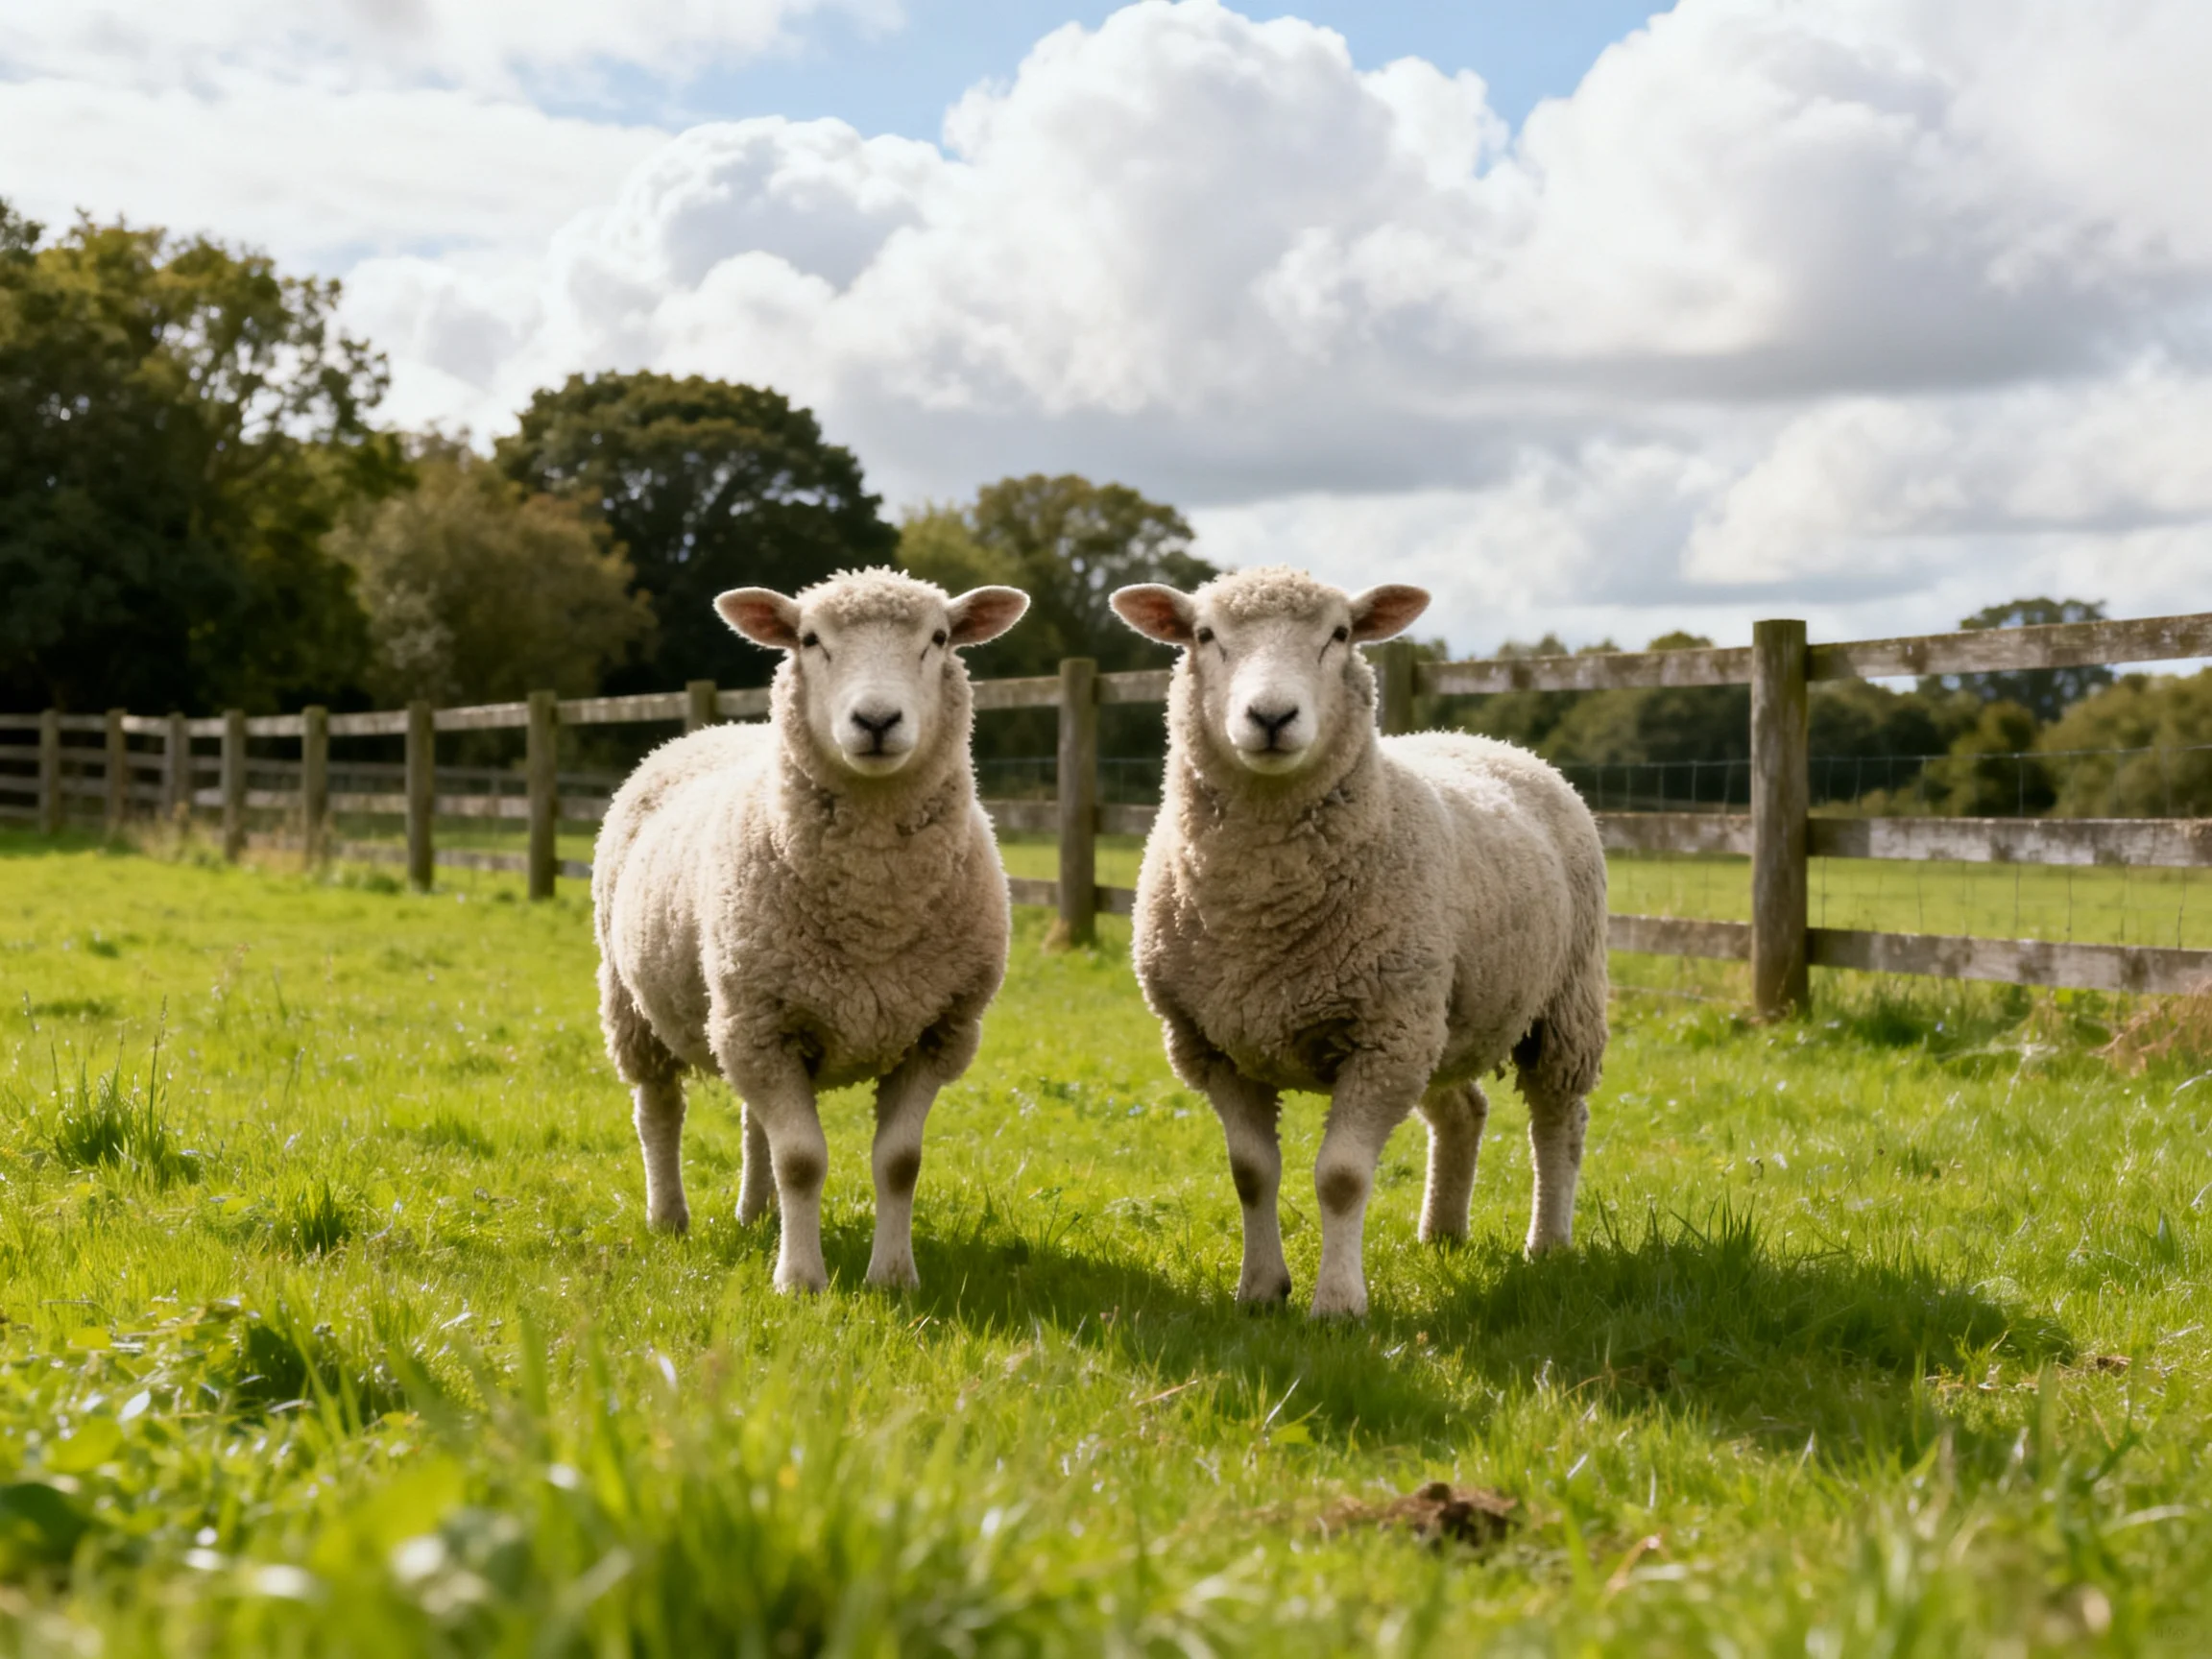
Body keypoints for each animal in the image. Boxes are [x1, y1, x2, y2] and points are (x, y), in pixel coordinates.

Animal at [593, 568, 1029, 1294]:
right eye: (809, 639)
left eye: (939, 638)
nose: (876, 720)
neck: (874, 911)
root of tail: (708, 729)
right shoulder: (761, 1025)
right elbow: (802, 1159)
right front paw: (800, 1281)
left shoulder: (936, 1031)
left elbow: (899, 1162)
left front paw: (893, 1279)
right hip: (639, 1006)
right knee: (659, 1111)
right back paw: (669, 1218)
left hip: (748, 1022)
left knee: (752, 1125)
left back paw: (756, 1214)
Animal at [1109, 567, 1608, 1318]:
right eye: (1204, 634)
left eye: (1339, 634)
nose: (1271, 717)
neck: (1262, 912)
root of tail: (1486, 739)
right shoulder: (1214, 1044)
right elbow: (1251, 1173)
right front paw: (1260, 1291)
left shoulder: (1381, 1037)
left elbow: (1341, 1177)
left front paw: (1339, 1305)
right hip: (1439, 1016)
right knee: (1464, 1110)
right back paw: (1442, 1234)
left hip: (1560, 1003)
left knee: (1559, 1123)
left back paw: (1546, 1244)